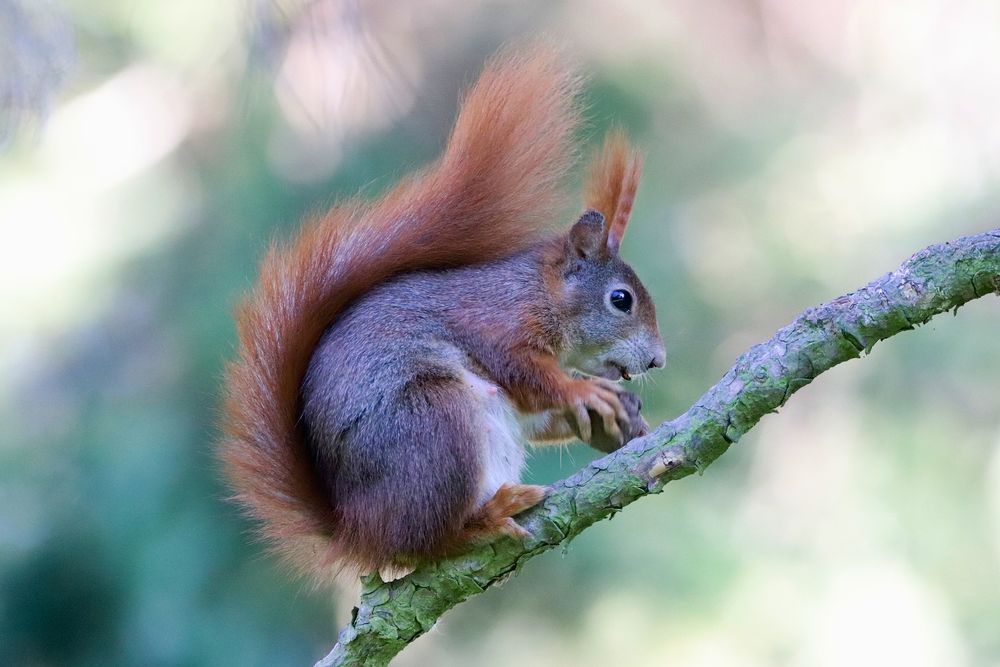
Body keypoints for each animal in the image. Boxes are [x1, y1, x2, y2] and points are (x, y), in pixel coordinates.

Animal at [221, 47, 666, 580]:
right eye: (621, 299)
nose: (659, 359)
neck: (535, 292)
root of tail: (360, 530)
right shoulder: (494, 323)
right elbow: (525, 372)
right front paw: (583, 391)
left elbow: (537, 414)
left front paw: (612, 420)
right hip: (435, 423)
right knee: (431, 540)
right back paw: (486, 518)